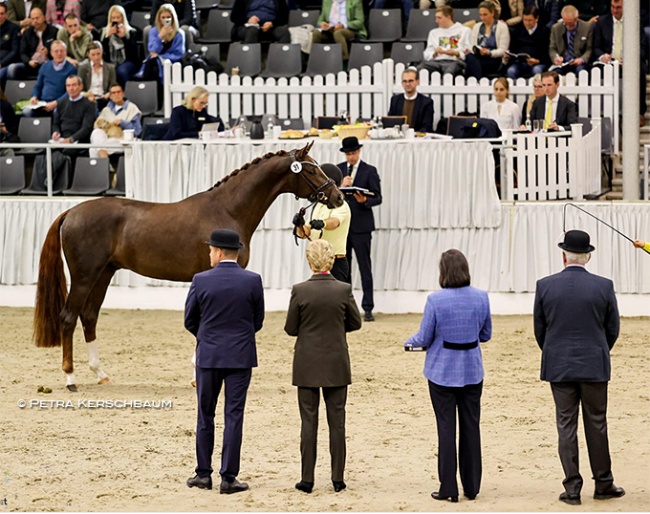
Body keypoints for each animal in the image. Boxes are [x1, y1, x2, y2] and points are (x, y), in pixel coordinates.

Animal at [34, 140, 344, 388]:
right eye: (312, 170)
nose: (338, 196)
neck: (228, 209)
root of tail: (71, 212)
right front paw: (200, 374)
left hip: (103, 274)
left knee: (89, 316)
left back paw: (100, 373)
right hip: (84, 276)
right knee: (68, 317)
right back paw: (70, 378)